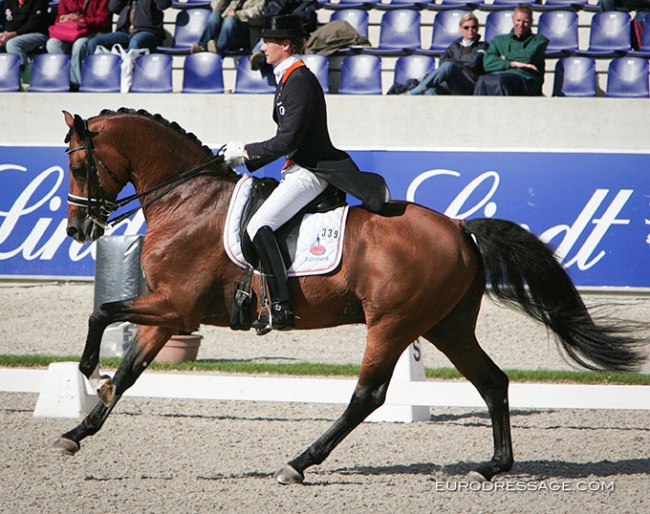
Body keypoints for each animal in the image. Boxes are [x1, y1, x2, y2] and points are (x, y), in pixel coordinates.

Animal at [57, 108, 644, 484]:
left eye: (80, 166)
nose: (78, 231)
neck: (187, 201)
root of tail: (459, 226)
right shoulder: (166, 314)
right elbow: (128, 372)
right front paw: (78, 430)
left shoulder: (176, 307)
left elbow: (100, 312)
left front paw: (85, 371)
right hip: (447, 325)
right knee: (492, 381)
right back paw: (493, 466)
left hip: (392, 322)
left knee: (369, 395)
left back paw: (298, 464)